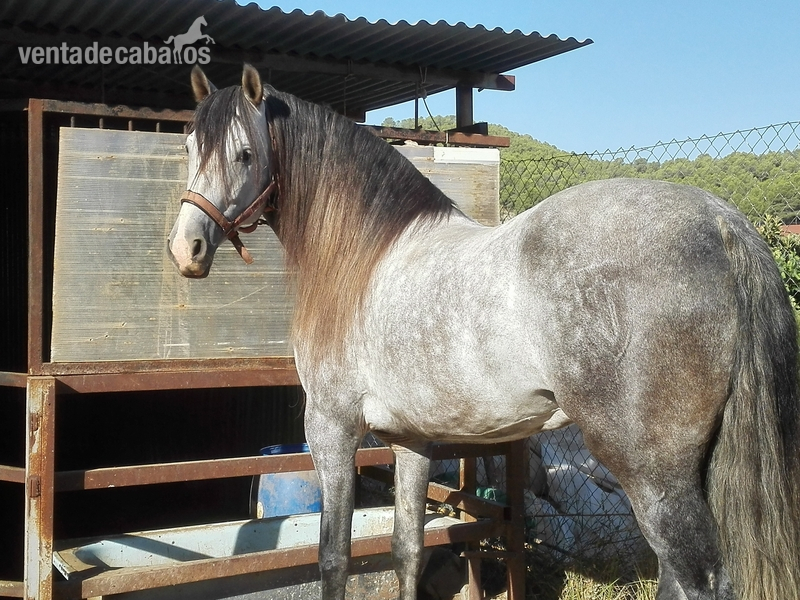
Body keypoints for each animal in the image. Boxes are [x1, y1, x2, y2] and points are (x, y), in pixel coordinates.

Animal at [167, 64, 800, 600]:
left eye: (246, 154)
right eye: (191, 147)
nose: (186, 248)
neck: (364, 259)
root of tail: (722, 223)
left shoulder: (332, 428)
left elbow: (334, 559)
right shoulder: (411, 441)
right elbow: (406, 548)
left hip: (653, 474)